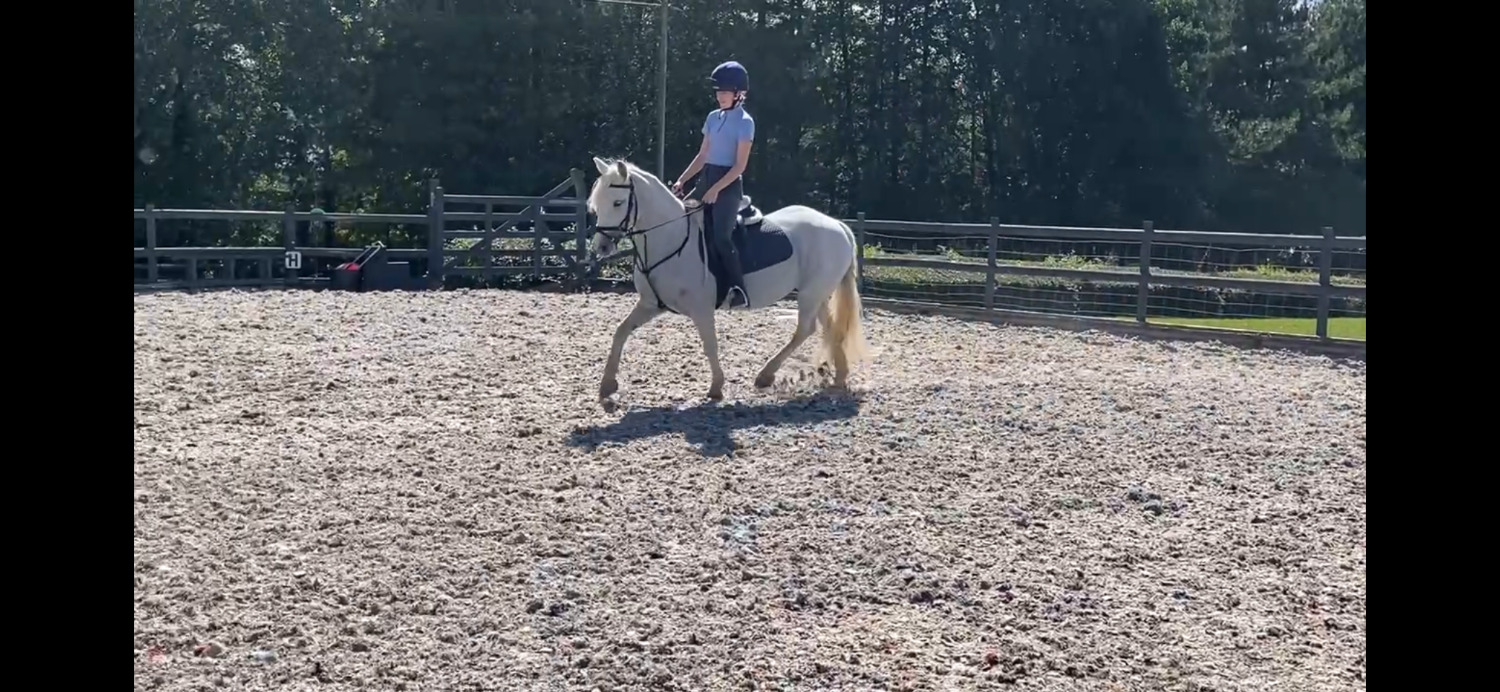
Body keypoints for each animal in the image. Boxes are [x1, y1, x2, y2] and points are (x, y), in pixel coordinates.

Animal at [585, 155, 867, 402]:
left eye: (618, 203)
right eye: (596, 204)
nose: (601, 247)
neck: (670, 238)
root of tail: (837, 225)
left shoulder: (701, 309)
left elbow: (710, 345)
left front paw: (716, 388)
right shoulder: (650, 304)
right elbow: (620, 332)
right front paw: (607, 384)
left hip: (811, 293)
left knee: (805, 330)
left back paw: (766, 375)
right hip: (818, 293)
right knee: (830, 327)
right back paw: (839, 376)